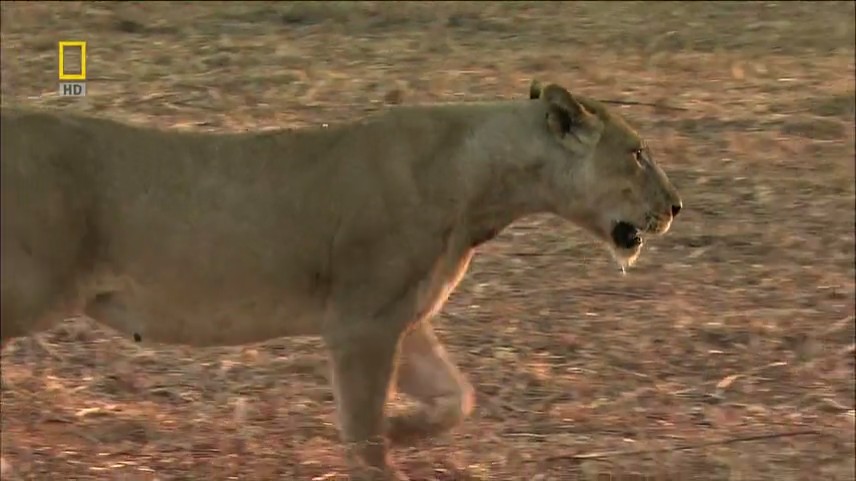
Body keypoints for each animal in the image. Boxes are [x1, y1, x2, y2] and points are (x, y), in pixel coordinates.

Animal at [0, 80, 682, 480]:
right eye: (637, 152)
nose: (676, 206)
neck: (484, 181)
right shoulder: (360, 326)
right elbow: (364, 427)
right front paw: (380, 452)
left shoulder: (403, 317)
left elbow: (455, 398)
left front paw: (403, 433)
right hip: (25, 290)